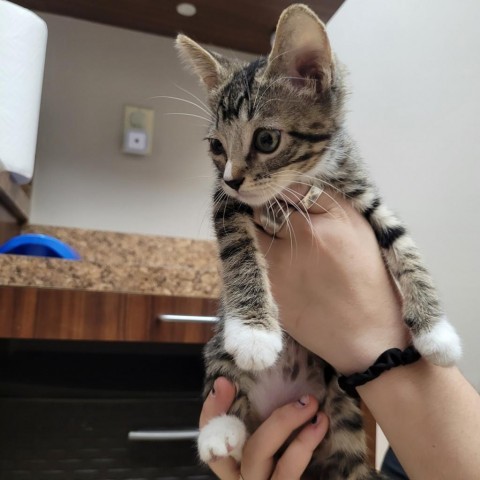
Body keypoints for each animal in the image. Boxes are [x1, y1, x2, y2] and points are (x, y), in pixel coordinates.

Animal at [175, 2, 462, 476]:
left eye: (266, 139)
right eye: (216, 147)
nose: (232, 178)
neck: (303, 180)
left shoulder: (363, 195)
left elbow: (405, 246)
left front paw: (435, 332)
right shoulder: (225, 204)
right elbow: (238, 248)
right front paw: (254, 333)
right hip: (218, 349)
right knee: (226, 389)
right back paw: (220, 432)